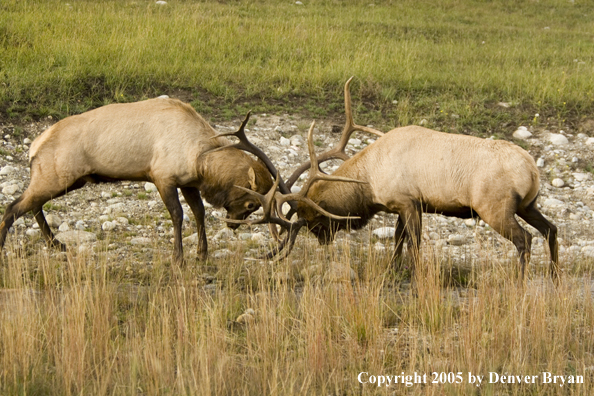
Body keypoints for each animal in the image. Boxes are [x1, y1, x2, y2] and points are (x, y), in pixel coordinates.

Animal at [0, 97, 274, 262]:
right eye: (252, 203)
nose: (234, 224)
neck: (201, 160)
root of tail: (33, 147)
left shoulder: (187, 183)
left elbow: (199, 212)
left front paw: (202, 254)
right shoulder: (162, 177)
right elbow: (178, 215)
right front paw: (178, 258)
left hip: (64, 180)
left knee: (32, 205)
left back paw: (56, 244)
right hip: (57, 176)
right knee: (13, 207)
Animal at [224, 77, 556, 282]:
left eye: (314, 218)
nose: (323, 241)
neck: (369, 183)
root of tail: (532, 170)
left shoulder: (407, 202)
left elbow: (413, 245)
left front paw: (415, 275)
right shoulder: (404, 205)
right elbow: (398, 241)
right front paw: (391, 272)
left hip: (495, 207)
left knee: (525, 239)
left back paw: (521, 280)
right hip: (528, 204)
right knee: (551, 229)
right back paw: (554, 274)